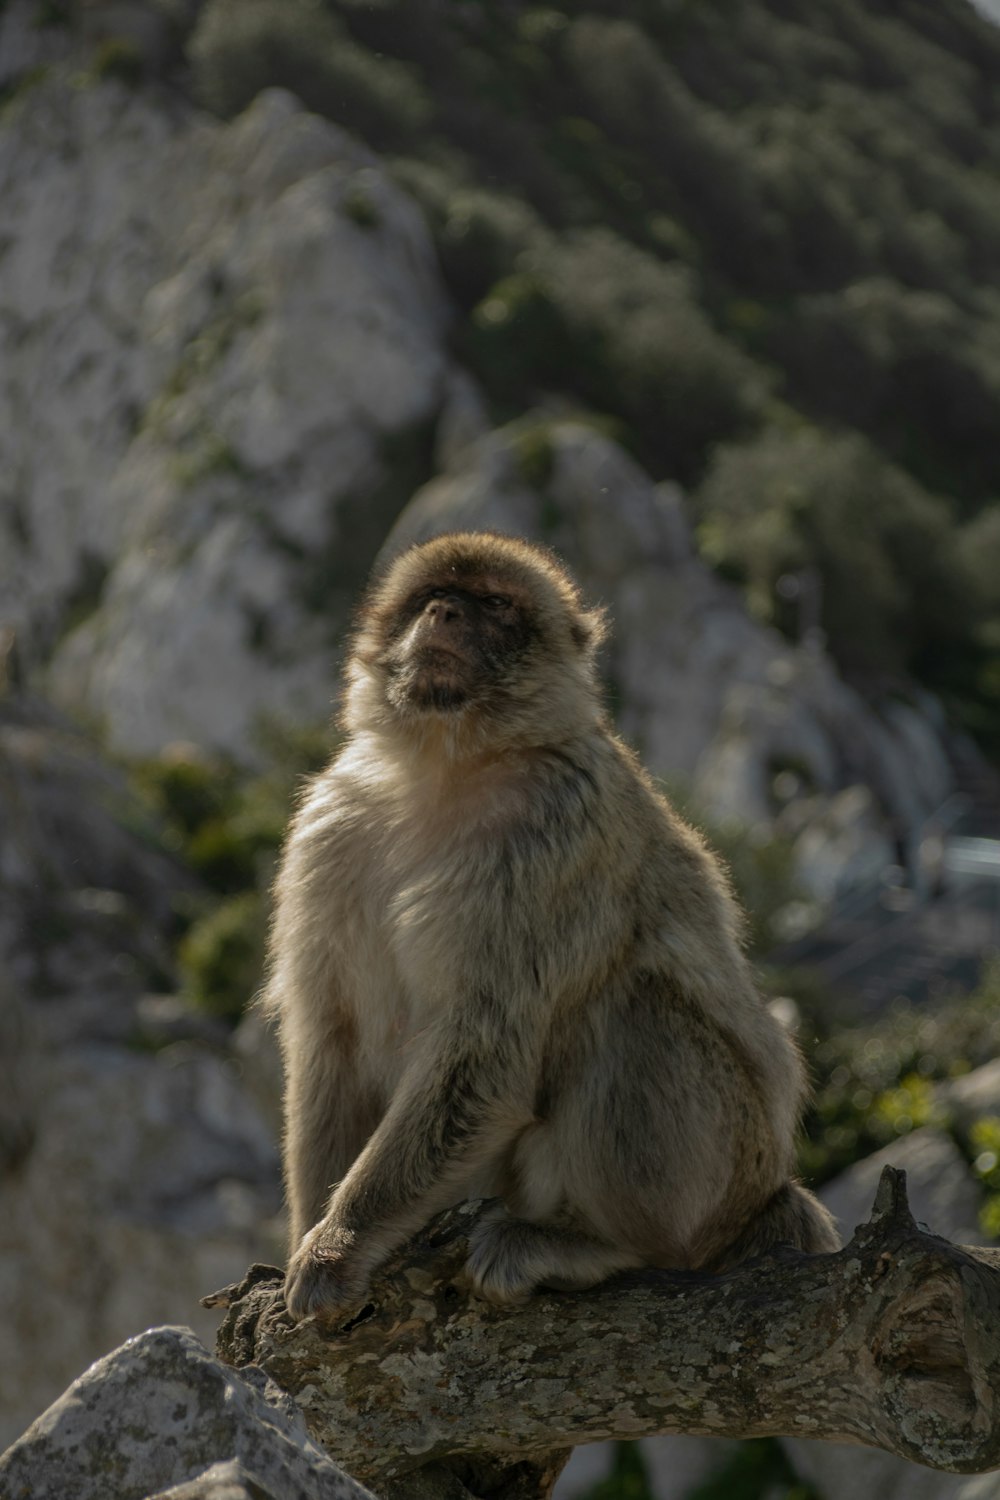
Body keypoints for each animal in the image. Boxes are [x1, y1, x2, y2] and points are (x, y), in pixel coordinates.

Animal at [263, 531, 839, 1326]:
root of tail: (771, 1198)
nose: (443, 615)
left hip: (728, 1167)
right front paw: (310, 1237)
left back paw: (607, 1246)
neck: (443, 767)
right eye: (430, 596)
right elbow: (331, 1039)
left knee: (636, 1007)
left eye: (493, 603)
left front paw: (339, 1245)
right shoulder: (329, 830)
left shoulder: (552, 832)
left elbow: (484, 1049)